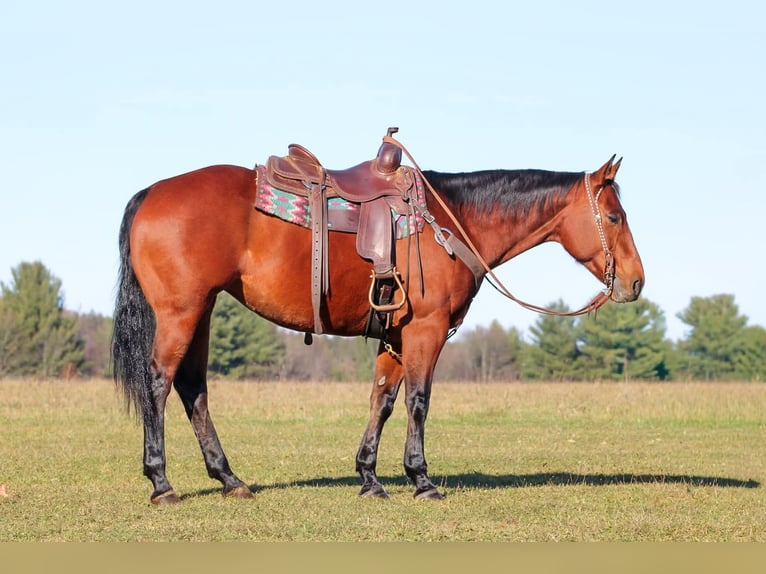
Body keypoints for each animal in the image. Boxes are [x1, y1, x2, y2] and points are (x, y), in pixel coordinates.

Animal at [111, 136, 644, 504]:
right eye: (614, 217)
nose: (636, 282)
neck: (450, 220)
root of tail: (152, 192)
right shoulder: (426, 330)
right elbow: (417, 402)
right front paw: (421, 478)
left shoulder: (395, 336)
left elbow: (382, 401)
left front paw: (369, 476)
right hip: (180, 313)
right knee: (158, 383)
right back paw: (161, 481)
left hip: (201, 312)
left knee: (193, 388)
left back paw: (229, 478)